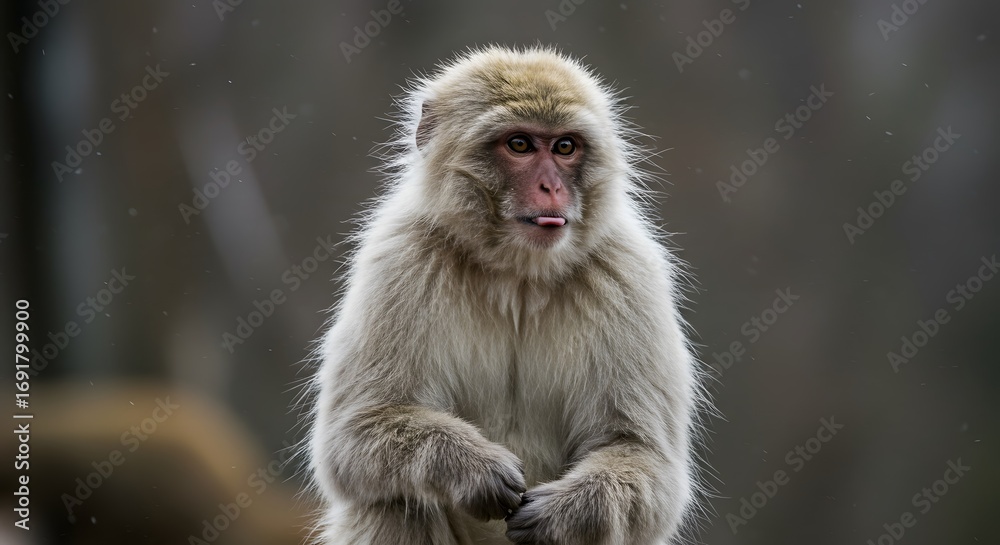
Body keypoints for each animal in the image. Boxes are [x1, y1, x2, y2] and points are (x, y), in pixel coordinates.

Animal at [306, 46, 706, 545]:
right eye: (520, 145)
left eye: (565, 147)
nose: (551, 187)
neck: (519, 275)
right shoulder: (401, 259)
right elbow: (354, 434)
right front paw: (472, 470)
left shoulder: (628, 274)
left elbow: (643, 456)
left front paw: (561, 515)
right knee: (393, 498)